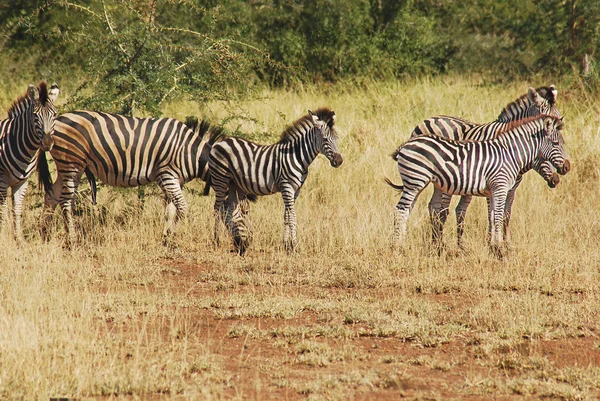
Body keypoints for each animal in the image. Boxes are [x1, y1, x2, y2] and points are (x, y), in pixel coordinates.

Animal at [0, 79, 59, 239]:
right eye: (35, 116)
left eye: (54, 115)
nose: (47, 143)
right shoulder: (2, 180)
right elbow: (2, 211)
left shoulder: (22, 182)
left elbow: (17, 210)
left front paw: (19, 239)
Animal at [37, 111, 225, 245]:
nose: (219, 240)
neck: (190, 152)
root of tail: (56, 119)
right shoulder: (167, 175)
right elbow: (182, 207)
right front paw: (173, 237)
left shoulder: (173, 180)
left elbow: (170, 210)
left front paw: (166, 237)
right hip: (71, 163)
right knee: (66, 201)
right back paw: (72, 239)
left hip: (67, 166)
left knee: (51, 195)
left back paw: (45, 234)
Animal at [210, 108, 342, 255]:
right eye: (325, 139)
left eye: (336, 138)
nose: (339, 161)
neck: (298, 157)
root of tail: (221, 142)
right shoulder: (287, 186)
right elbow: (292, 216)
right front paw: (295, 247)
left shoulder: (295, 190)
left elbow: (286, 215)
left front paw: (286, 245)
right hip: (220, 179)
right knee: (217, 208)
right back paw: (216, 240)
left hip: (234, 184)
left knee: (229, 209)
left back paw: (239, 241)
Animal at [386, 113, 568, 256]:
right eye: (556, 144)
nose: (567, 168)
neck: (510, 154)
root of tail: (407, 143)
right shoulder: (500, 186)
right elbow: (498, 216)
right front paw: (500, 250)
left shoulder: (495, 189)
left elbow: (494, 216)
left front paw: (494, 247)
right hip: (415, 181)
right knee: (401, 210)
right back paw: (397, 248)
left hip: (417, 182)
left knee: (408, 210)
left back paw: (405, 245)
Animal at [410, 85, 560, 247]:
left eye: (560, 118)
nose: (556, 178)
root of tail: (428, 119)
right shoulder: (493, 184)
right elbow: (492, 215)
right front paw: (491, 242)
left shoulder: (511, 189)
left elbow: (506, 215)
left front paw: (506, 243)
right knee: (441, 209)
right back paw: (439, 243)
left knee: (434, 206)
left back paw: (436, 241)